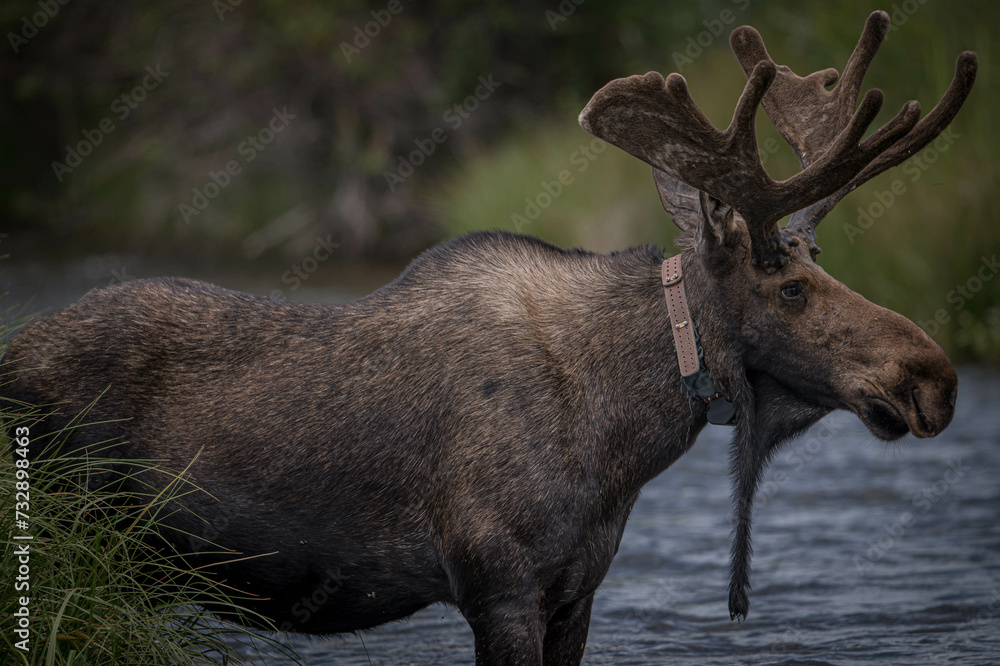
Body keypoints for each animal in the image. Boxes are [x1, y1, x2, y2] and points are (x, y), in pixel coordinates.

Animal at [0, 11, 977, 665]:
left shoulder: (576, 595)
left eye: (822, 260)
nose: (935, 376)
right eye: (786, 281)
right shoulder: (497, 586)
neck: (623, 439)